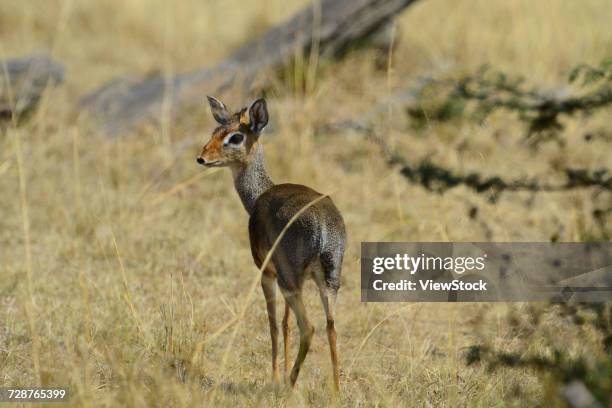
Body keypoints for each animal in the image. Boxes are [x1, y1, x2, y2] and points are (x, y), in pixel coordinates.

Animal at [198, 97, 346, 390]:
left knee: (309, 327)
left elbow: (274, 323)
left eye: (236, 136)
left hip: (291, 281)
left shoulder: (267, 272)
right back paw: (335, 390)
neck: (259, 196)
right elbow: (286, 323)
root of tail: (323, 230)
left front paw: (276, 376)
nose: (203, 157)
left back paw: (288, 384)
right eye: (215, 130)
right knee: (330, 327)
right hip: (327, 282)